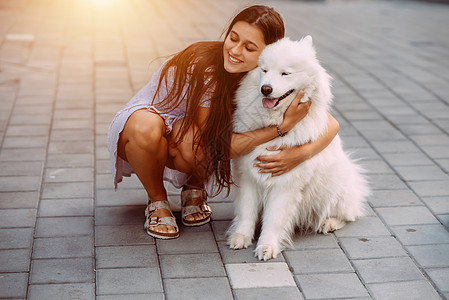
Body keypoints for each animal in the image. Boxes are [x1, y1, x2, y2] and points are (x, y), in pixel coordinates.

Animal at [228, 35, 368, 260]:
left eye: (285, 73)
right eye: (264, 70)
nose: (265, 88)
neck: (273, 125)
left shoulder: (285, 184)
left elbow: (274, 219)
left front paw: (267, 246)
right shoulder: (248, 176)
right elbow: (246, 211)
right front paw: (241, 236)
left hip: (333, 189)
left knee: (348, 215)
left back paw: (328, 223)